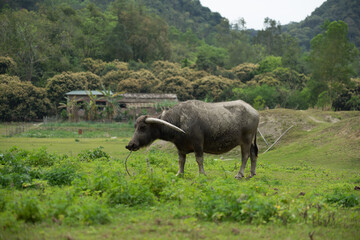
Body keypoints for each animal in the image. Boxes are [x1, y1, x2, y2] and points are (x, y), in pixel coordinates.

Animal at [126, 99, 258, 178]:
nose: (130, 145)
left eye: (142, 127)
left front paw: (201, 174)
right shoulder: (179, 146)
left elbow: (199, 159)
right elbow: (181, 160)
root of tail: (254, 111)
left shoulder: (198, 143)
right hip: (251, 141)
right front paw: (179, 174)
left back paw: (239, 174)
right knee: (253, 154)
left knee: (245, 155)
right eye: (135, 127)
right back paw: (252, 174)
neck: (179, 120)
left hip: (246, 140)